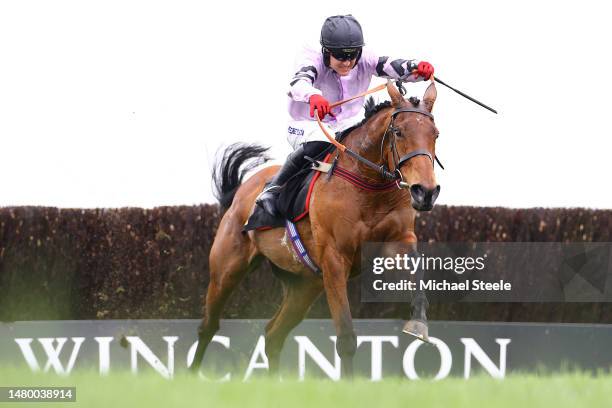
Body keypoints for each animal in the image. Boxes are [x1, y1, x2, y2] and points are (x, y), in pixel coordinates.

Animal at [190, 80, 440, 380]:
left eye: (435, 134)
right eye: (399, 131)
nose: (425, 191)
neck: (370, 186)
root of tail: (241, 190)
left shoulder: (397, 241)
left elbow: (418, 273)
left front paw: (418, 323)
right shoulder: (334, 258)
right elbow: (345, 336)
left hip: (305, 285)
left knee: (273, 334)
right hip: (227, 269)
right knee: (208, 326)